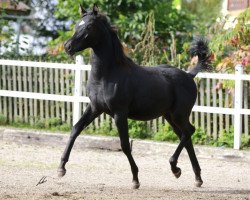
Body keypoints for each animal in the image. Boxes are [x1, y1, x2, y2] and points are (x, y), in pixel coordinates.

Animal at [58, 4, 211, 189]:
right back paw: (195, 177)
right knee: (186, 137)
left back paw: (176, 168)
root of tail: (189, 75)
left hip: (179, 115)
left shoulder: (119, 113)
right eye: (76, 25)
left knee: (188, 132)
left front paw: (135, 179)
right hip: (170, 116)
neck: (107, 75)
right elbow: (75, 129)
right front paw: (61, 168)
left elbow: (124, 145)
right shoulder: (95, 108)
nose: (67, 46)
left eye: (88, 26)